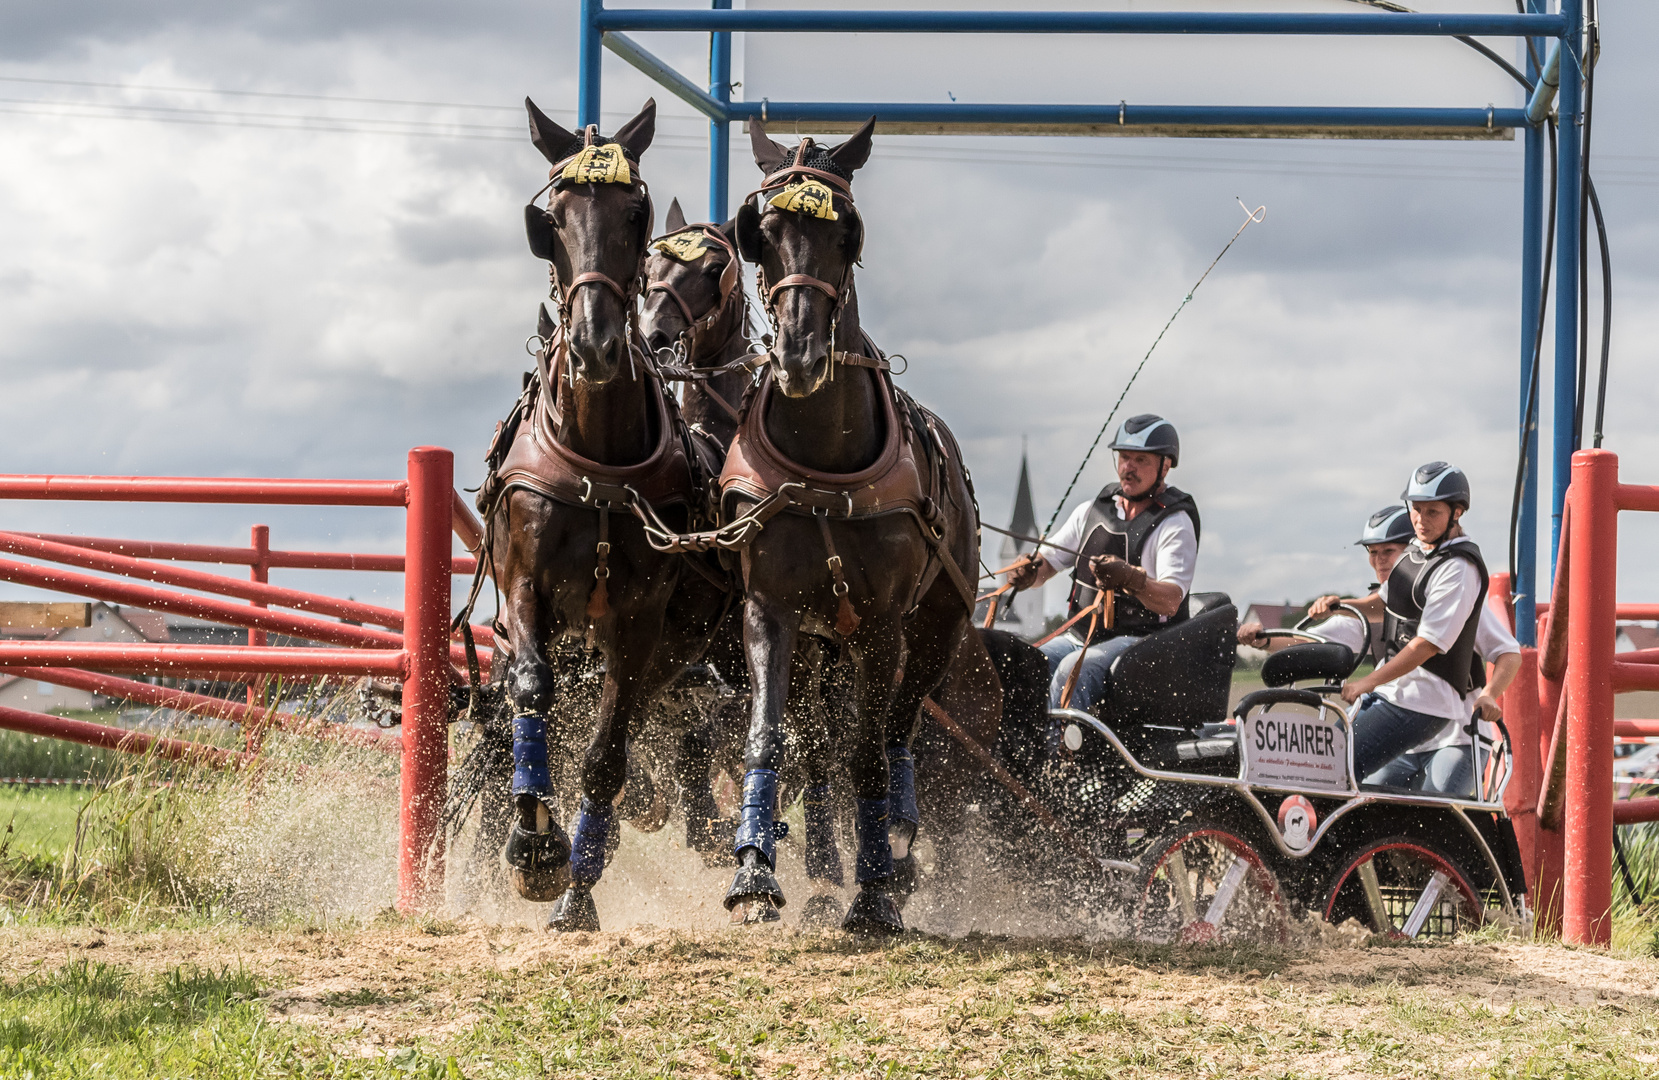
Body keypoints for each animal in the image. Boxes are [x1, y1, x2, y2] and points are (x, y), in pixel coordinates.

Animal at [484, 97, 736, 935]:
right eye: (552, 216)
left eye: (635, 212)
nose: (596, 344)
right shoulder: (524, 586)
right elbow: (532, 689)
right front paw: (534, 846)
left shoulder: (637, 617)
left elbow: (604, 754)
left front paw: (575, 889)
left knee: (651, 725)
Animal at [723, 116, 988, 929]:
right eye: (761, 232)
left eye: (847, 233)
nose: (802, 357)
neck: (822, 459)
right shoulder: (769, 611)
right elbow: (768, 737)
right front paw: (755, 871)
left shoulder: (882, 626)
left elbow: (867, 754)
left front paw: (874, 893)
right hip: (820, 645)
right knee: (815, 744)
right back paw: (822, 866)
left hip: (934, 633)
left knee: (897, 731)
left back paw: (894, 845)